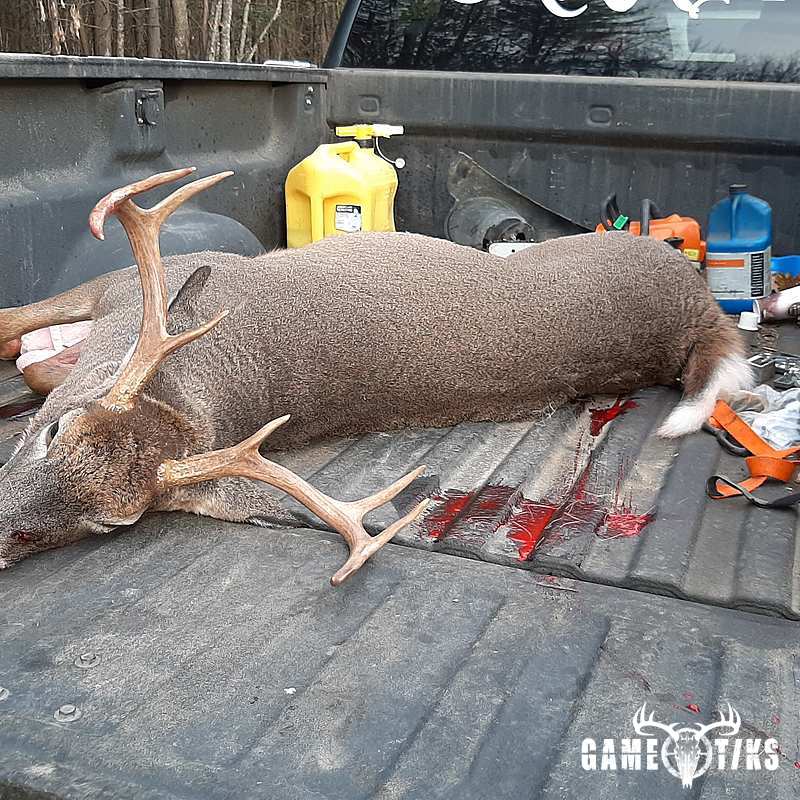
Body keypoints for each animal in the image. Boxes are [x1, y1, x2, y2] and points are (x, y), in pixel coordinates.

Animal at [0, 168, 751, 581]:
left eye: (111, 524)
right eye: (54, 432)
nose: (3, 539)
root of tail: (697, 309)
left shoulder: (115, 286)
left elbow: (15, 320)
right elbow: (28, 351)